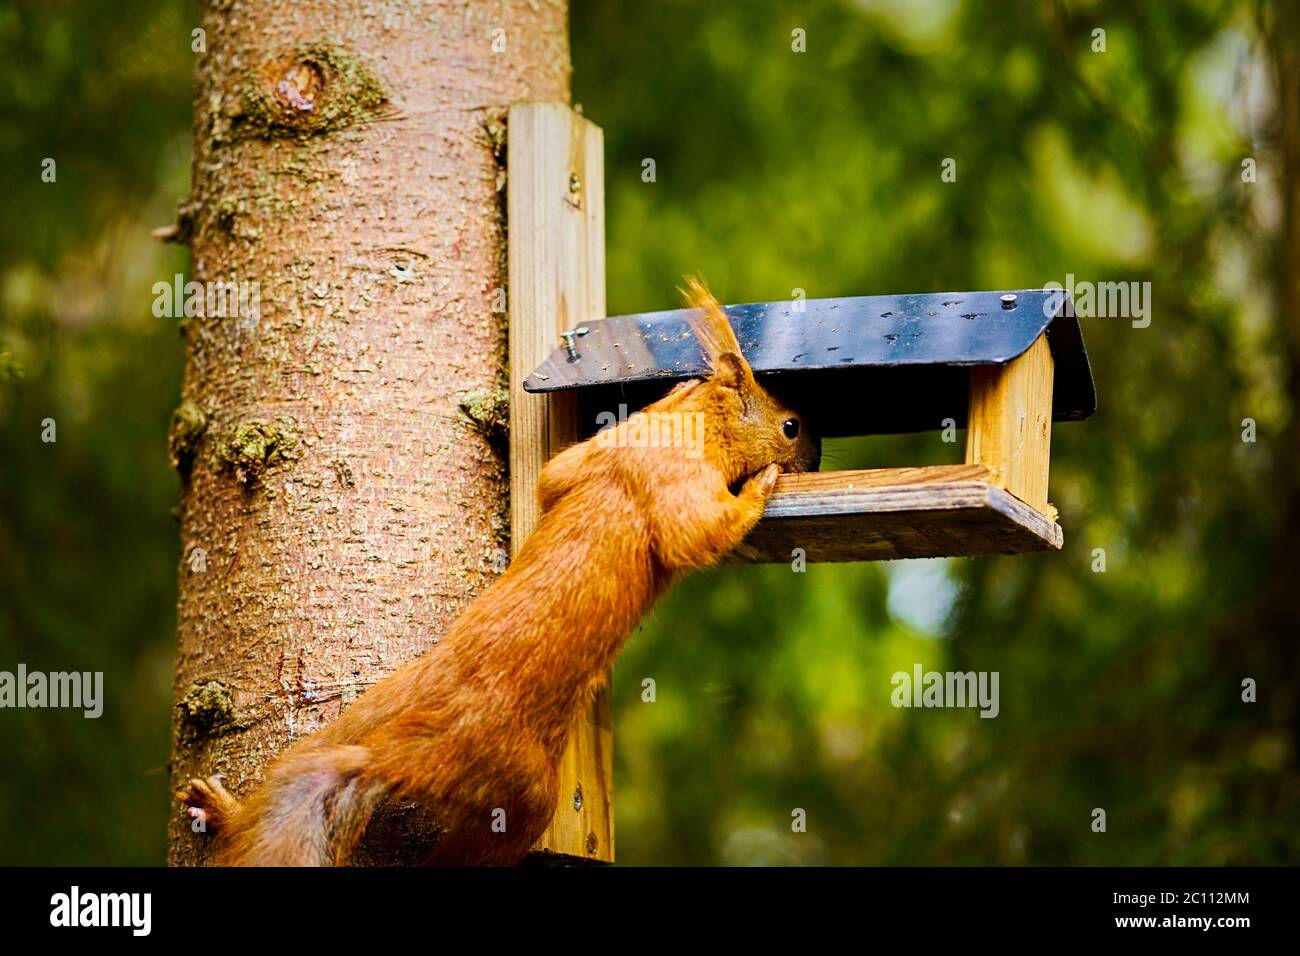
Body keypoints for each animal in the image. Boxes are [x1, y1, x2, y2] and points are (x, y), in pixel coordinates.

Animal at [177, 277, 820, 865]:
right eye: (790, 425)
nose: (815, 459)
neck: (687, 426)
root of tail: (406, 749)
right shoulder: (676, 483)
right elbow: (699, 533)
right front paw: (762, 486)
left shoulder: (591, 457)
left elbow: (554, 477)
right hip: (519, 796)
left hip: (367, 710)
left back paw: (222, 809)